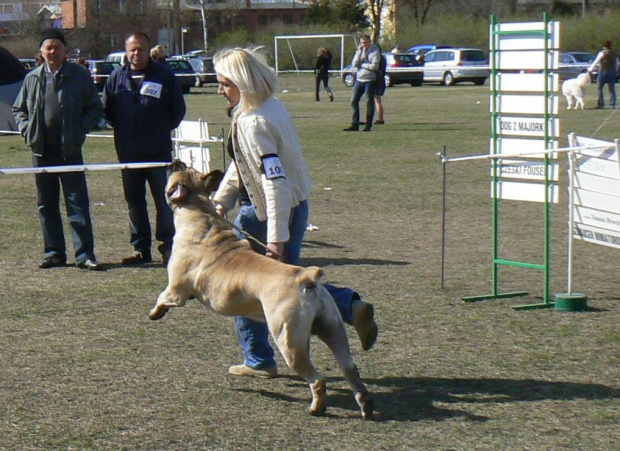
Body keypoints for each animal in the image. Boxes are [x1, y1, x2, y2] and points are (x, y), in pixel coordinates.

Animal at [150, 163, 372, 420]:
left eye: (178, 173)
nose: (175, 161)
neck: (199, 209)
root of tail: (304, 278)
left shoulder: (176, 291)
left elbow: (162, 297)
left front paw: (155, 313)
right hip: (333, 329)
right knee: (350, 370)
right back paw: (365, 405)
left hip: (289, 342)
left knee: (317, 380)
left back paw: (316, 408)